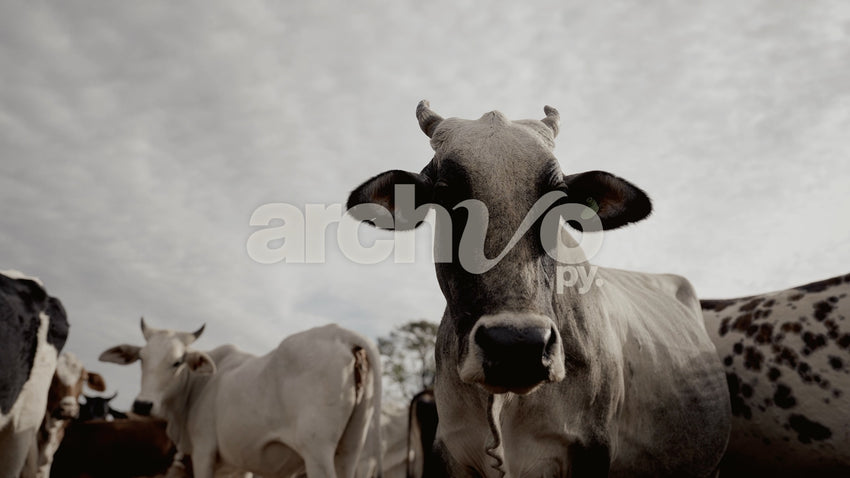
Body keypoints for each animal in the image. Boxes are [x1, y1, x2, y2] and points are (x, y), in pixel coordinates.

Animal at [99, 320, 382, 478]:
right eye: (141, 359)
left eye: (177, 362)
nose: (143, 404)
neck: (197, 386)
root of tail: (343, 334)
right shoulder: (241, 464)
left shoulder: (203, 451)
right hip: (349, 451)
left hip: (317, 453)